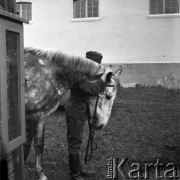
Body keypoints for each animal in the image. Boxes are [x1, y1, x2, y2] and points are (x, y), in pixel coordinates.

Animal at [23, 47, 121, 179]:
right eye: (108, 96)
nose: (101, 124)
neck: (49, 75)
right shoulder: (30, 117)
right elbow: (25, 151)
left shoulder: (41, 118)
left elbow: (39, 145)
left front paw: (41, 174)